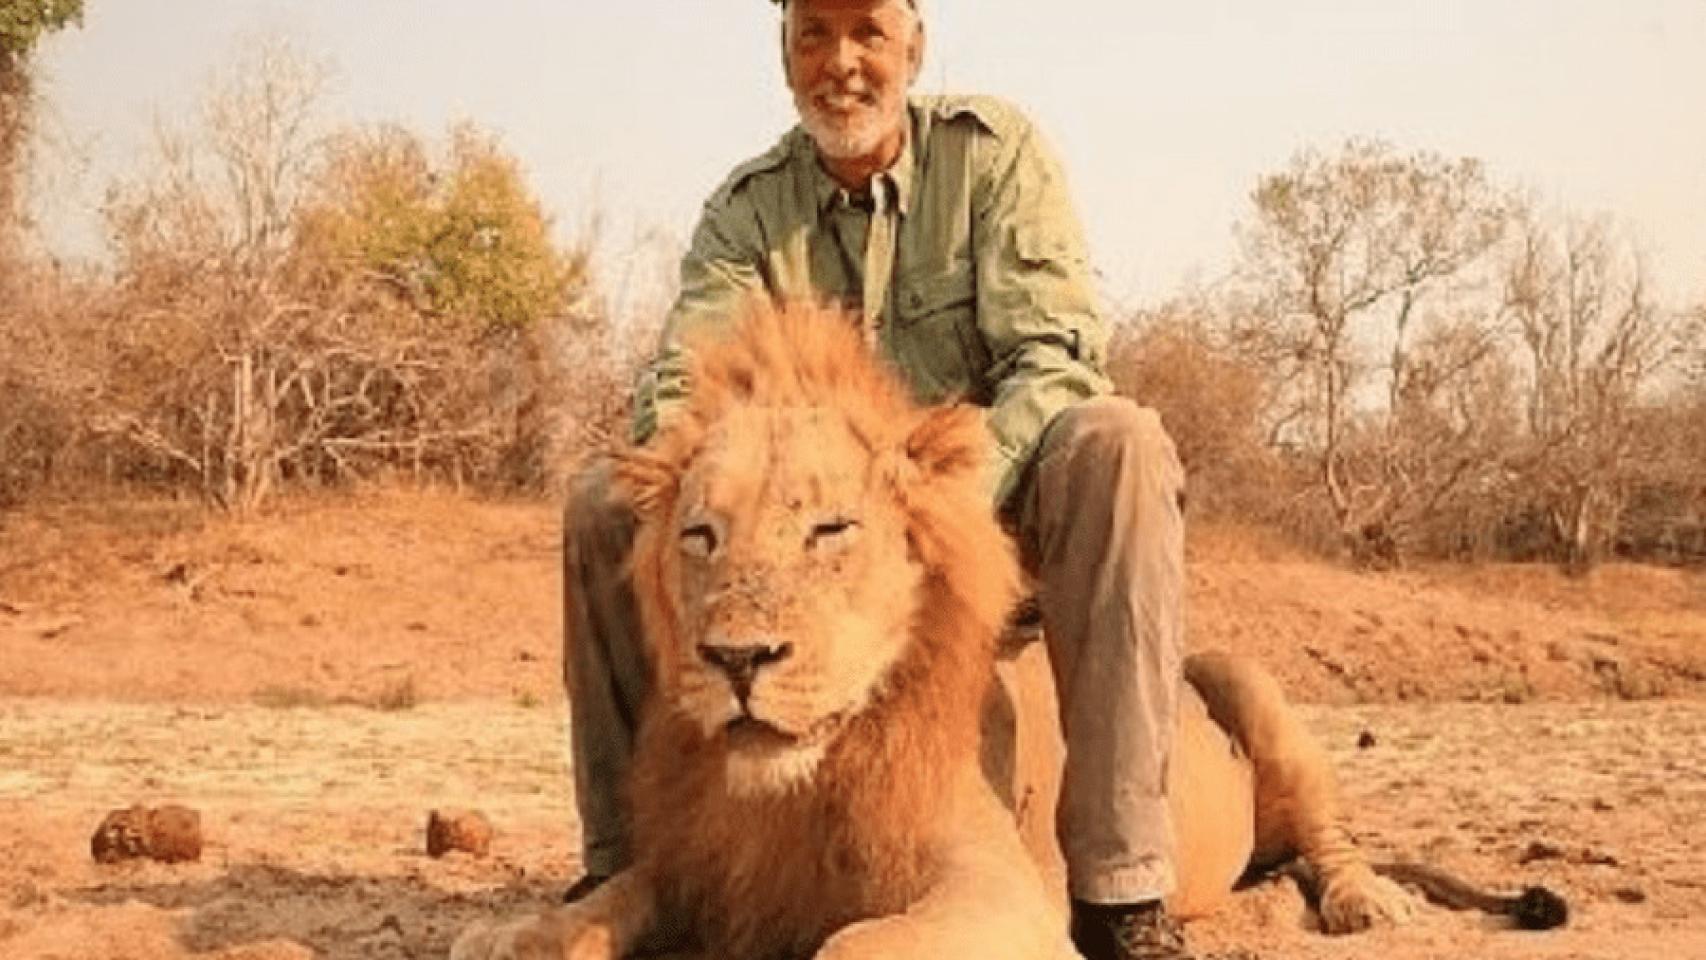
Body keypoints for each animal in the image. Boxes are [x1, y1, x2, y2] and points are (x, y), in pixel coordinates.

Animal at [450, 301, 1562, 960]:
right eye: (700, 536)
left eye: (829, 530)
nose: (736, 660)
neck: (803, 782)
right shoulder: (702, 865)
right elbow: (576, 919)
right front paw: (515, 932)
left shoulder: (998, 894)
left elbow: (855, 943)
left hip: (1247, 680)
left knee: (1326, 840)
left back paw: (1354, 902)